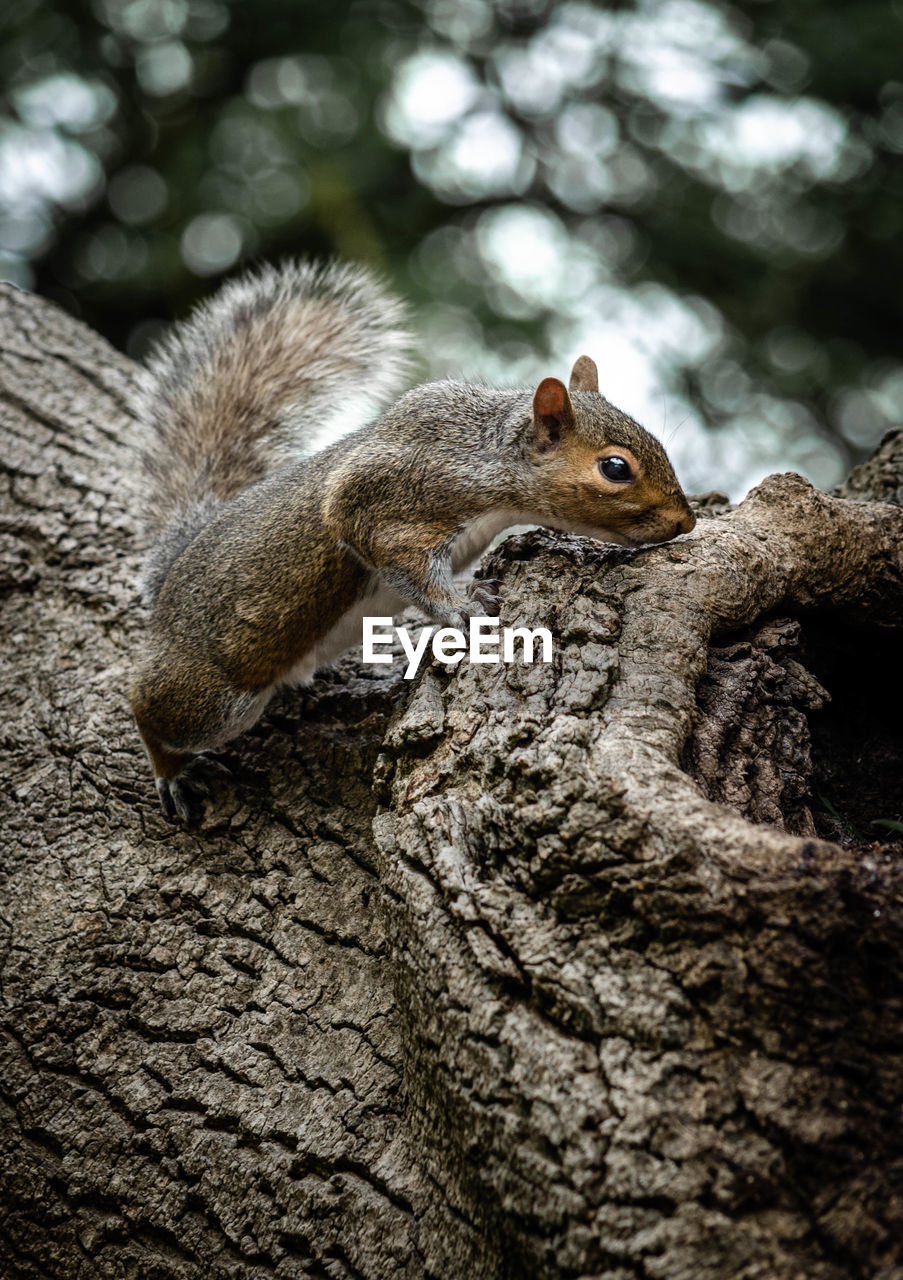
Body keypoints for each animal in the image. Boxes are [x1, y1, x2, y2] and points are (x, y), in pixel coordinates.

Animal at [126, 258, 691, 819]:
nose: (686, 522)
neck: (489, 466)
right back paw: (170, 771)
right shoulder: (387, 500)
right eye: (615, 467)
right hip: (215, 698)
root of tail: (168, 588)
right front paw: (460, 609)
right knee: (151, 712)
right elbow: (401, 560)